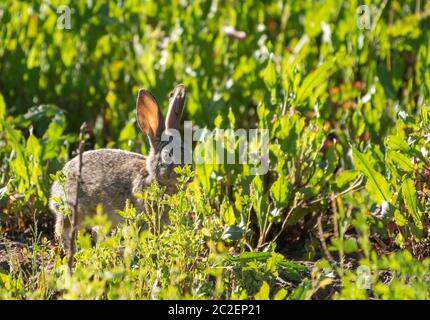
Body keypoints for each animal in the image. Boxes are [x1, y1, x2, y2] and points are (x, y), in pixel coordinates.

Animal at [48, 84, 186, 250]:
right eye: (169, 154)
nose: (188, 172)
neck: (153, 177)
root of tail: (55, 190)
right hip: (73, 210)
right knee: (62, 229)